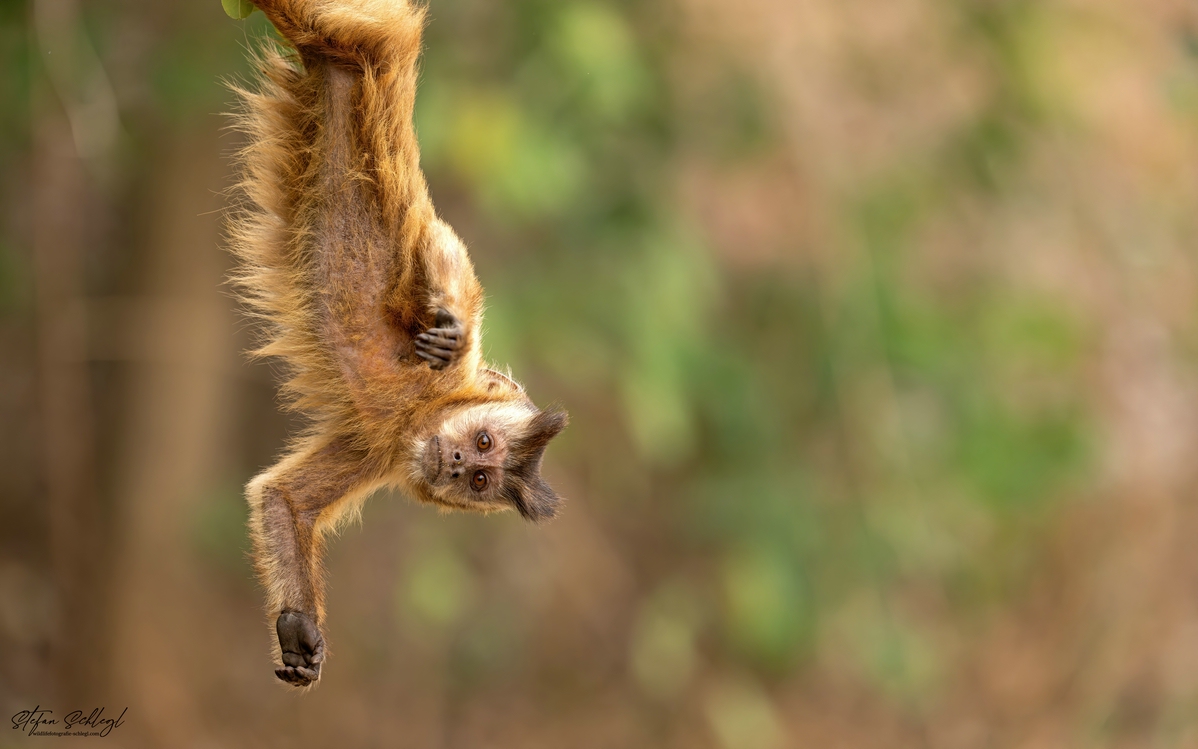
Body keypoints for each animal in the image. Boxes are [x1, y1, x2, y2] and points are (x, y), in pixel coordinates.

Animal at [225, 0, 570, 690]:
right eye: (483, 445)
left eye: (481, 481)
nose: (458, 464)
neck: (419, 414)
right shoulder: (444, 386)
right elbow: (438, 247)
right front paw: (456, 328)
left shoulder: (383, 451)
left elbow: (284, 502)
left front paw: (299, 630)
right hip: (373, 38)